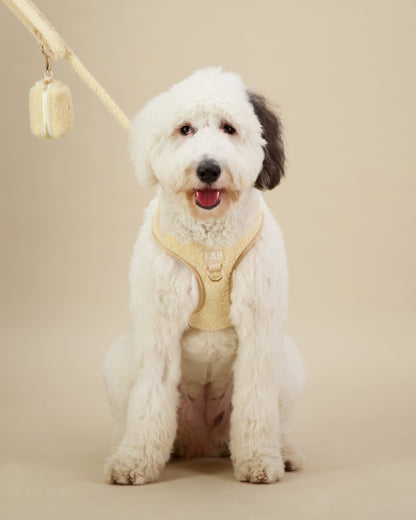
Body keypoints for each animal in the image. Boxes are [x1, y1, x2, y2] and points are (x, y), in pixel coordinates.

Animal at [103, 67, 306, 486]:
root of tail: (205, 442)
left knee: (273, 419)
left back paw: (285, 450)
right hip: (120, 361)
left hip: (288, 362)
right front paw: (134, 461)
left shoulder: (259, 329)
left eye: (229, 128)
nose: (208, 169)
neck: (210, 238)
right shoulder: (158, 327)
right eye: (185, 129)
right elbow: (150, 398)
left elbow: (257, 403)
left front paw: (259, 460)